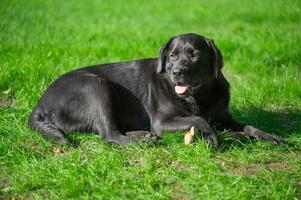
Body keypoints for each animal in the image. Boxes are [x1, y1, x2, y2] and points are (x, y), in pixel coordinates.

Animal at [28, 32, 284, 147]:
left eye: (195, 54)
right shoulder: (162, 121)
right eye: (172, 55)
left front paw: (270, 136)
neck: (200, 97)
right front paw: (215, 137)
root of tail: (40, 103)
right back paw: (145, 139)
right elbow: (201, 121)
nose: (177, 72)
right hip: (95, 86)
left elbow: (248, 126)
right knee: (109, 134)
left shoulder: (224, 117)